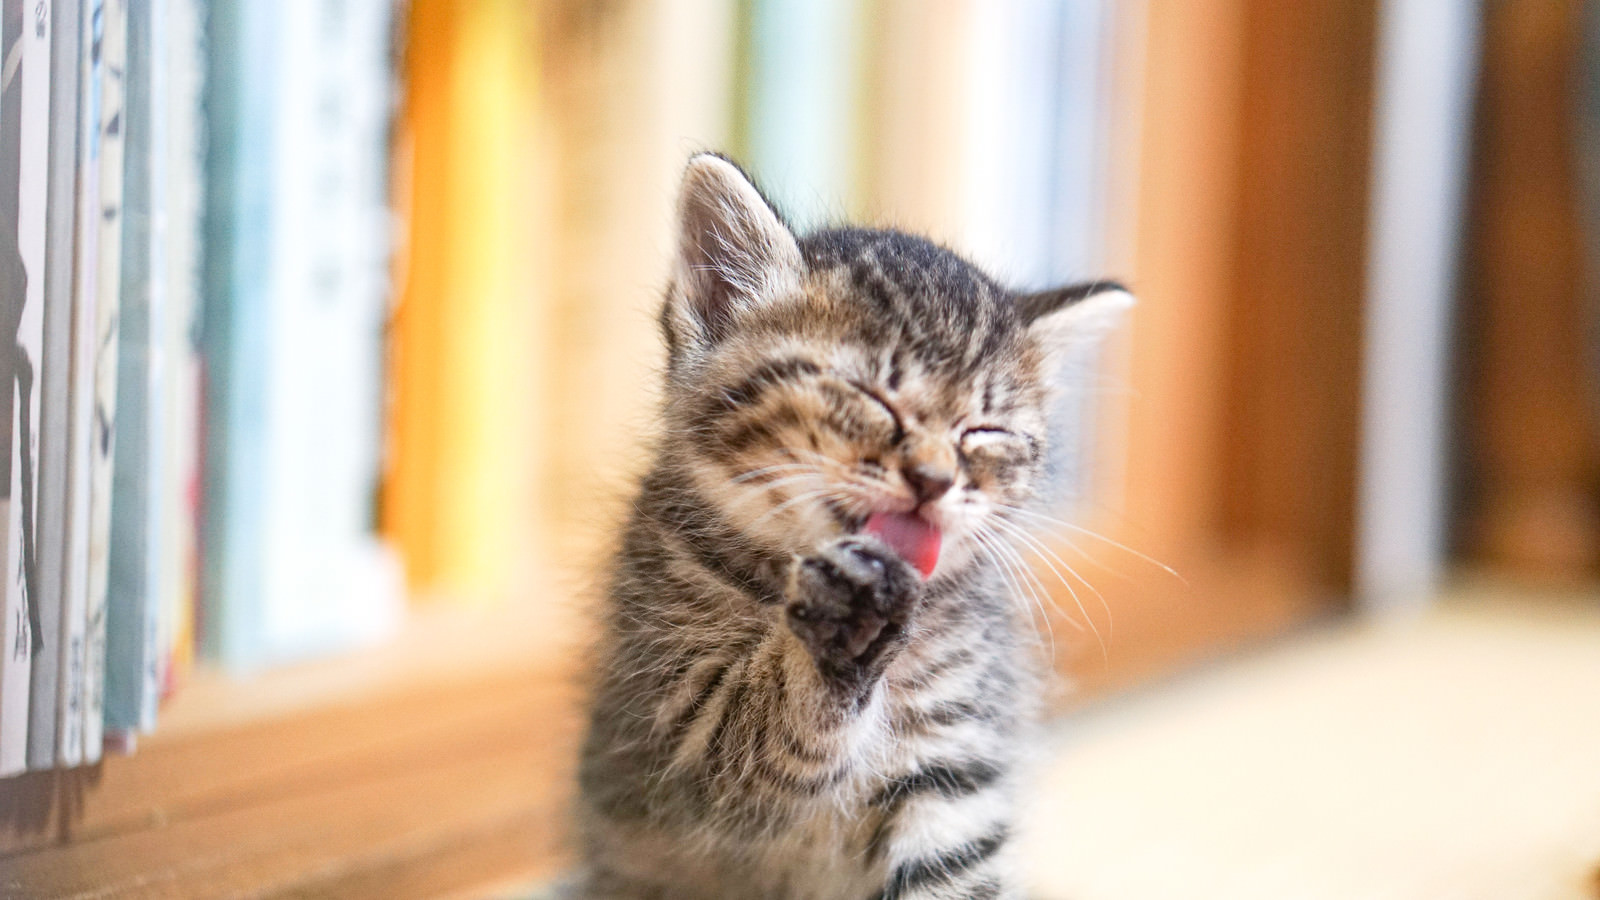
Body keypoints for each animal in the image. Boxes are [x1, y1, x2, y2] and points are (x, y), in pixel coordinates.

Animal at [569, 156, 1132, 896]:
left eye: (983, 433)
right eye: (871, 399)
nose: (933, 479)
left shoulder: (952, 761)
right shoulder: (678, 727)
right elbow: (759, 732)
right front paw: (836, 637)